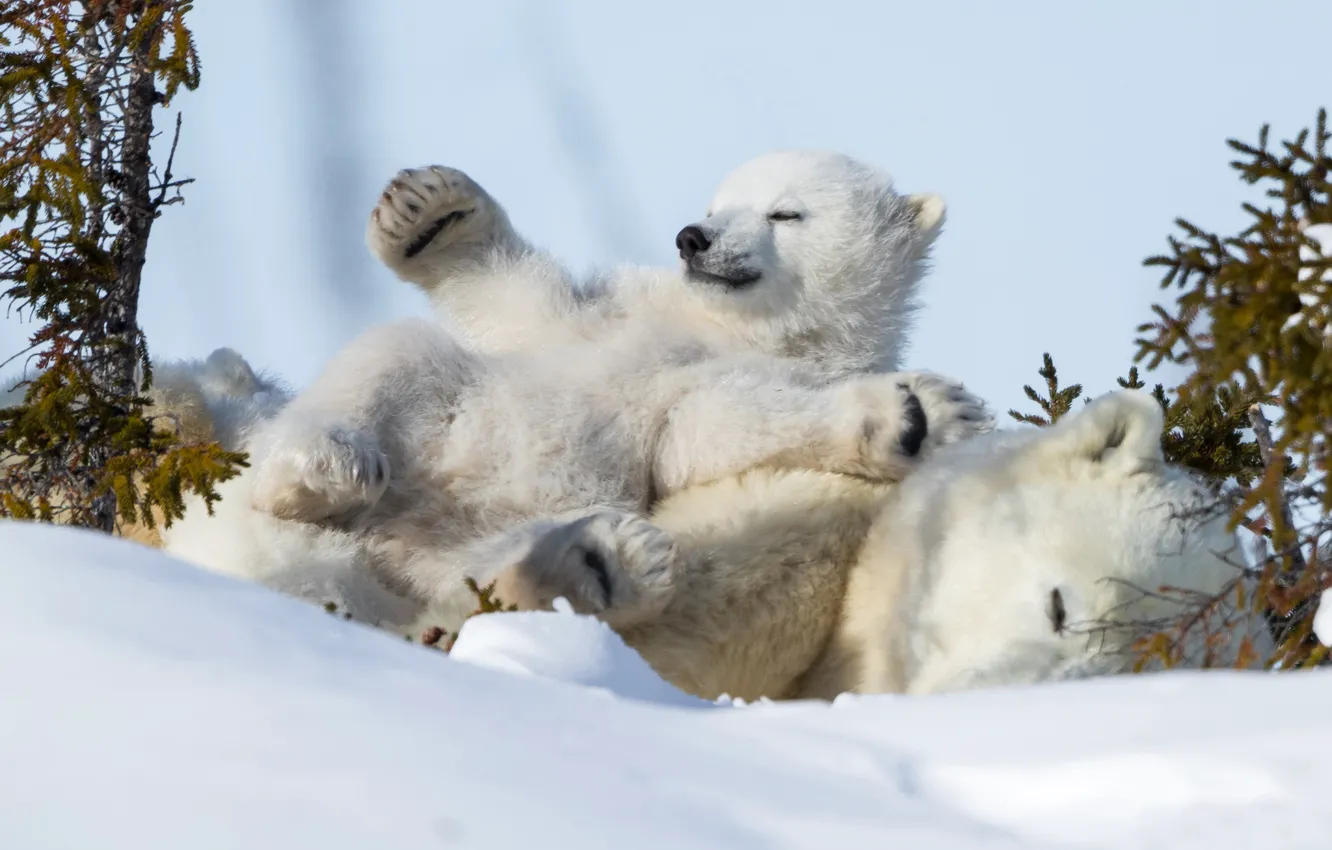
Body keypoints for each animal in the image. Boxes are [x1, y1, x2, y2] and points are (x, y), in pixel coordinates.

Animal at [161, 150, 990, 633]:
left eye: (787, 212)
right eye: (716, 203)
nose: (694, 238)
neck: (725, 327)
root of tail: (383, 547)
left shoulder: (763, 375)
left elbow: (716, 427)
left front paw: (918, 414)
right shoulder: (606, 314)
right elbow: (525, 302)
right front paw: (429, 210)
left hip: (501, 527)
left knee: (481, 568)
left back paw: (600, 562)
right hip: (428, 433)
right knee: (398, 360)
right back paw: (321, 469)